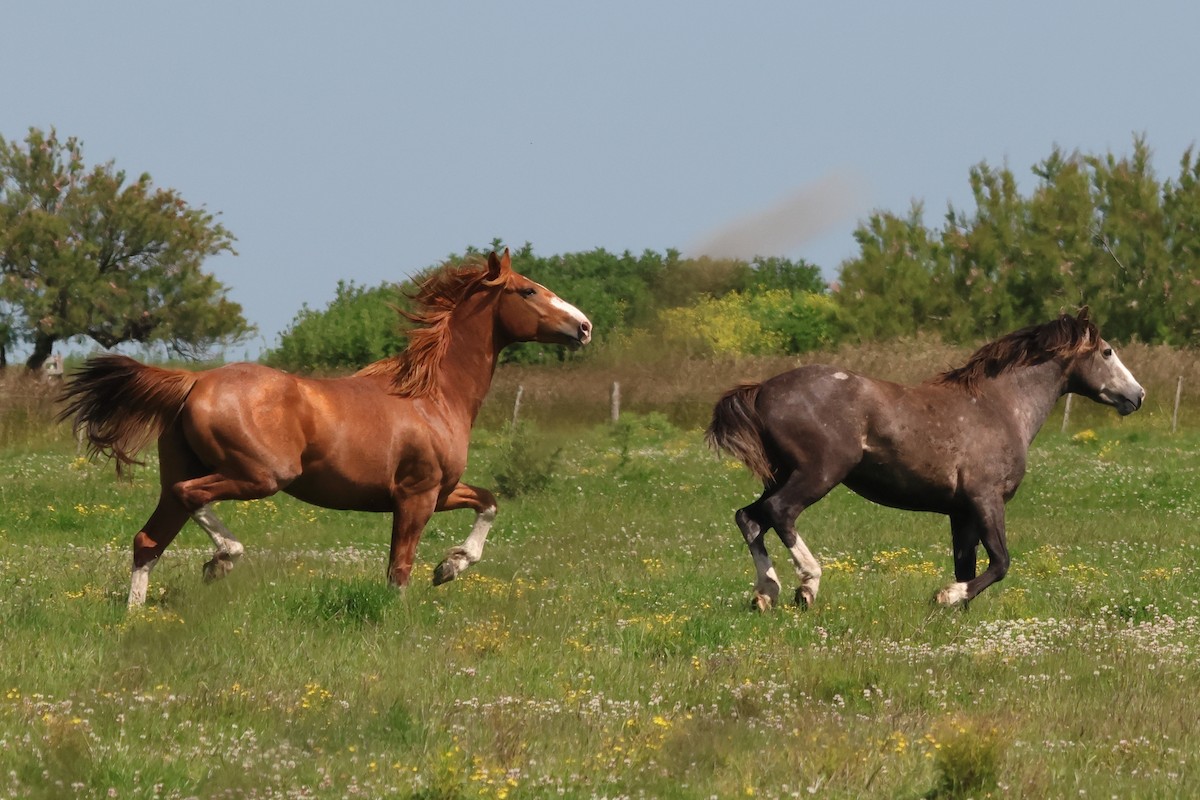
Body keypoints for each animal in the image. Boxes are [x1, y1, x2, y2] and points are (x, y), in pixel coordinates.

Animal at [59, 249, 592, 607]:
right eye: (528, 290)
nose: (584, 326)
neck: (432, 397)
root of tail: (195, 382)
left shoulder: (443, 491)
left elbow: (489, 502)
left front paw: (451, 566)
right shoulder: (416, 495)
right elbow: (399, 568)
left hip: (183, 474)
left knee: (148, 540)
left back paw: (138, 614)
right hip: (261, 476)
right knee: (192, 499)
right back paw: (223, 559)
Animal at [706, 309, 1144, 610]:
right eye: (1107, 351)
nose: (1137, 396)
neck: (1000, 406)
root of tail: (763, 389)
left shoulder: (962, 513)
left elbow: (968, 565)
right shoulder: (986, 500)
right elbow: (1000, 562)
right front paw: (946, 596)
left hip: (782, 474)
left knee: (749, 518)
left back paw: (766, 594)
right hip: (818, 473)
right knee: (781, 513)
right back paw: (806, 586)